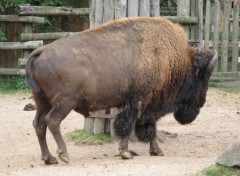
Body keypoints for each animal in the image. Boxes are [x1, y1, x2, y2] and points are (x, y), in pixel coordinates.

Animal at [25, 17, 218, 164]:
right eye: (202, 77)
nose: (202, 102)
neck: (173, 58)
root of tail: (41, 51)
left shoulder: (146, 104)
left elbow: (149, 127)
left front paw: (156, 151)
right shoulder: (140, 102)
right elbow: (132, 125)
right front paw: (125, 153)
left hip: (42, 101)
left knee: (39, 124)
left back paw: (49, 158)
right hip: (64, 102)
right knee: (52, 122)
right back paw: (63, 155)